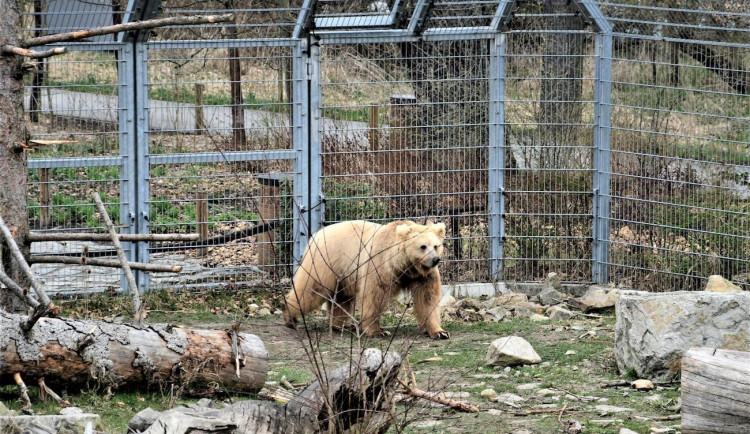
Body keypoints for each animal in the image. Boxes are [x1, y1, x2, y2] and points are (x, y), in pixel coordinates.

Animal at [280, 220, 446, 340]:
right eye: (423, 246)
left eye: (436, 246)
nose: (435, 260)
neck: (405, 266)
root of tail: (316, 234)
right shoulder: (380, 265)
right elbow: (374, 296)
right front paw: (378, 331)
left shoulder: (423, 276)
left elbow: (427, 299)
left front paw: (439, 332)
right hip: (325, 264)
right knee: (311, 290)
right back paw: (290, 317)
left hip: (343, 273)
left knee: (342, 298)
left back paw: (340, 325)